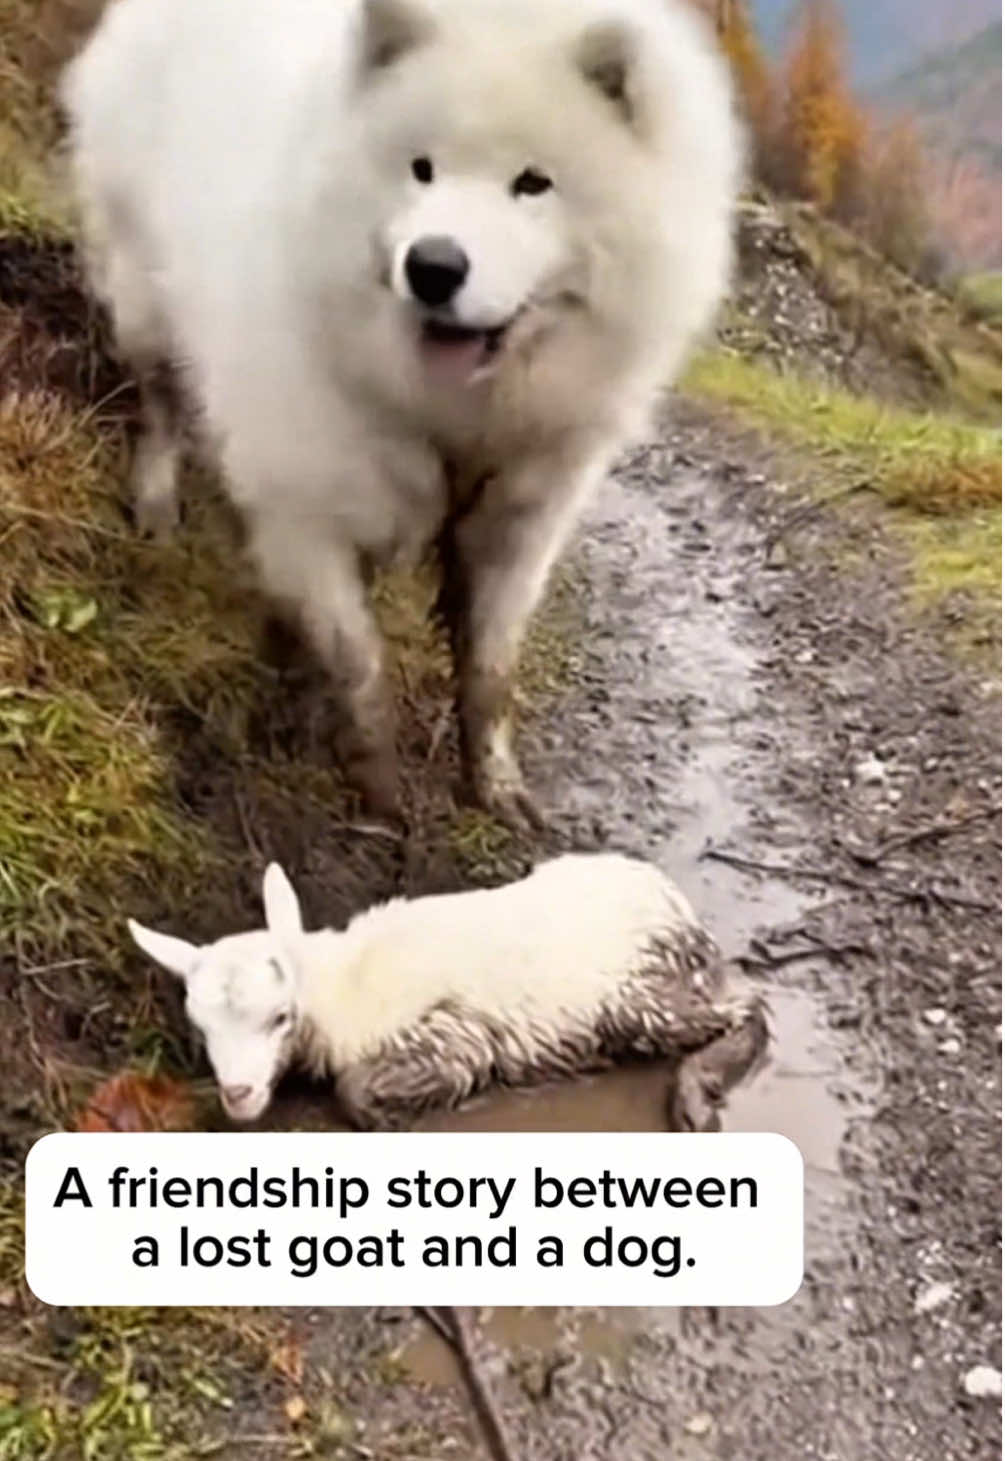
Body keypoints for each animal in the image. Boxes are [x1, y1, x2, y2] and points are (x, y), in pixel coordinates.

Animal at [128, 853, 768, 1131]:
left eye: (281, 1016)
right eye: (199, 1027)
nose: (237, 1093)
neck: (341, 984)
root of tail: (676, 901)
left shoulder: (455, 1031)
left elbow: (355, 1088)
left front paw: (391, 1114)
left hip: (641, 993)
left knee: (746, 1007)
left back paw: (695, 1093)